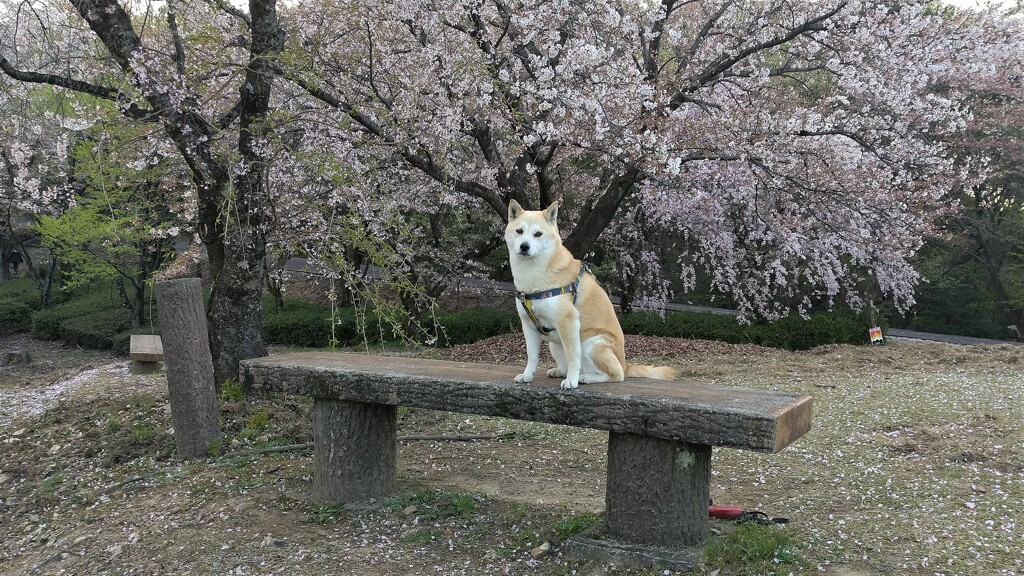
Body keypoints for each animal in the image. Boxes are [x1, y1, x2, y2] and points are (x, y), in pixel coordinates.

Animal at [505, 199, 679, 387]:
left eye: (538, 234)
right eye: (519, 231)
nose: (524, 246)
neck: (534, 278)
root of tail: (625, 364)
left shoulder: (568, 322)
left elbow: (573, 357)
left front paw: (571, 381)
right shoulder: (528, 325)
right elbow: (532, 357)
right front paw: (527, 376)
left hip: (592, 344)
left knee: (615, 374)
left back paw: (585, 377)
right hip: (555, 344)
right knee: (567, 364)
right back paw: (560, 371)